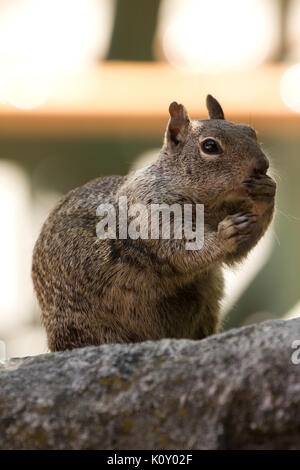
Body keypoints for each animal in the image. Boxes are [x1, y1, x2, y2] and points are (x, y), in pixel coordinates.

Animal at [31, 96, 276, 352]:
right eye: (210, 146)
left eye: (251, 131)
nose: (262, 164)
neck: (208, 205)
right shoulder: (149, 210)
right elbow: (180, 247)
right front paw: (224, 234)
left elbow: (238, 251)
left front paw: (266, 191)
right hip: (90, 327)